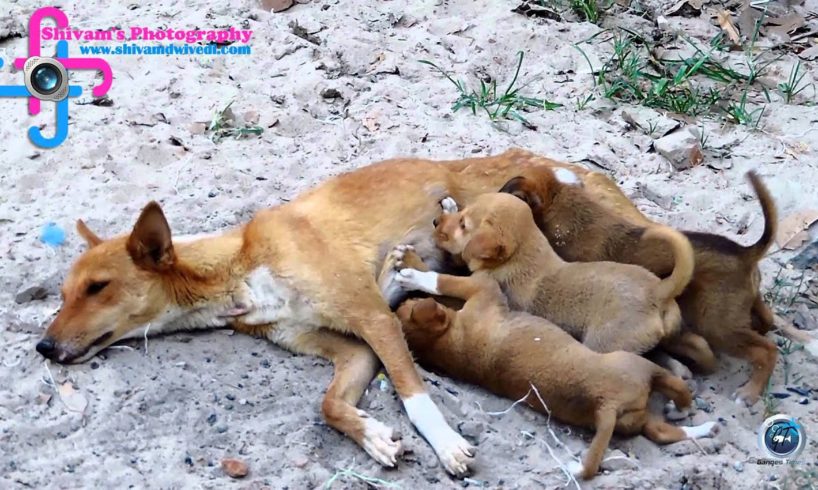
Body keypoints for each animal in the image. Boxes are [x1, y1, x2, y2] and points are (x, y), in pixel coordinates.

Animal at [388, 249, 712, 478]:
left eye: (405, 307)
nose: (400, 301)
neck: (447, 344)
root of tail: (604, 405)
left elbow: (442, 278)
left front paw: (412, 268)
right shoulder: (483, 288)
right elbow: (443, 279)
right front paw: (414, 272)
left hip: (635, 417)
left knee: (662, 432)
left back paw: (703, 429)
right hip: (640, 367)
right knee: (678, 391)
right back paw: (688, 413)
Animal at [430, 193, 692, 358]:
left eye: (464, 225)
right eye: (462, 215)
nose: (434, 221)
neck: (521, 253)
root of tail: (659, 291)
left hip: (604, 342)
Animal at [500, 167, 808, 404]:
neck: (573, 211)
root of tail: (746, 253)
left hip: (717, 325)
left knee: (766, 349)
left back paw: (750, 392)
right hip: (740, 309)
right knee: (766, 321)